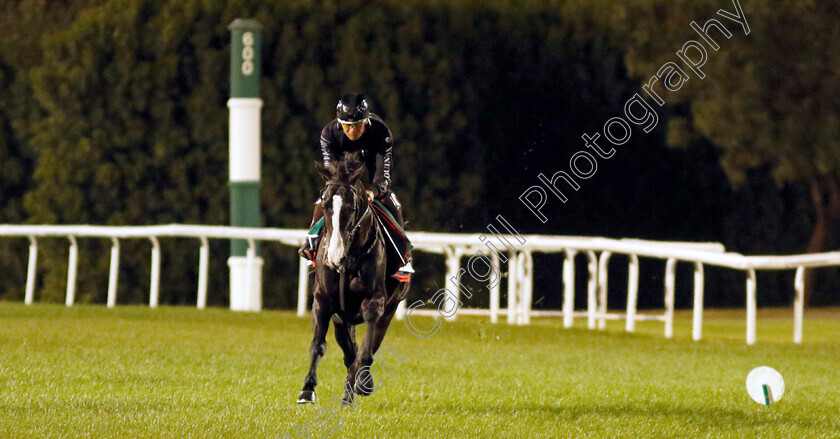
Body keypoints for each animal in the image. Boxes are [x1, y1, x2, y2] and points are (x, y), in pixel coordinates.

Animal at [298, 156, 410, 406]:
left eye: (353, 207)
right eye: (326, 204)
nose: (335, 256)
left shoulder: (375, 300)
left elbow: (367, 348)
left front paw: (364, 382)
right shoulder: (323, 301)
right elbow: (318, 345)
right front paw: (307, 389)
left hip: (391, 308)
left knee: (370, 345)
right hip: (341, 319)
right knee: (349, 352)